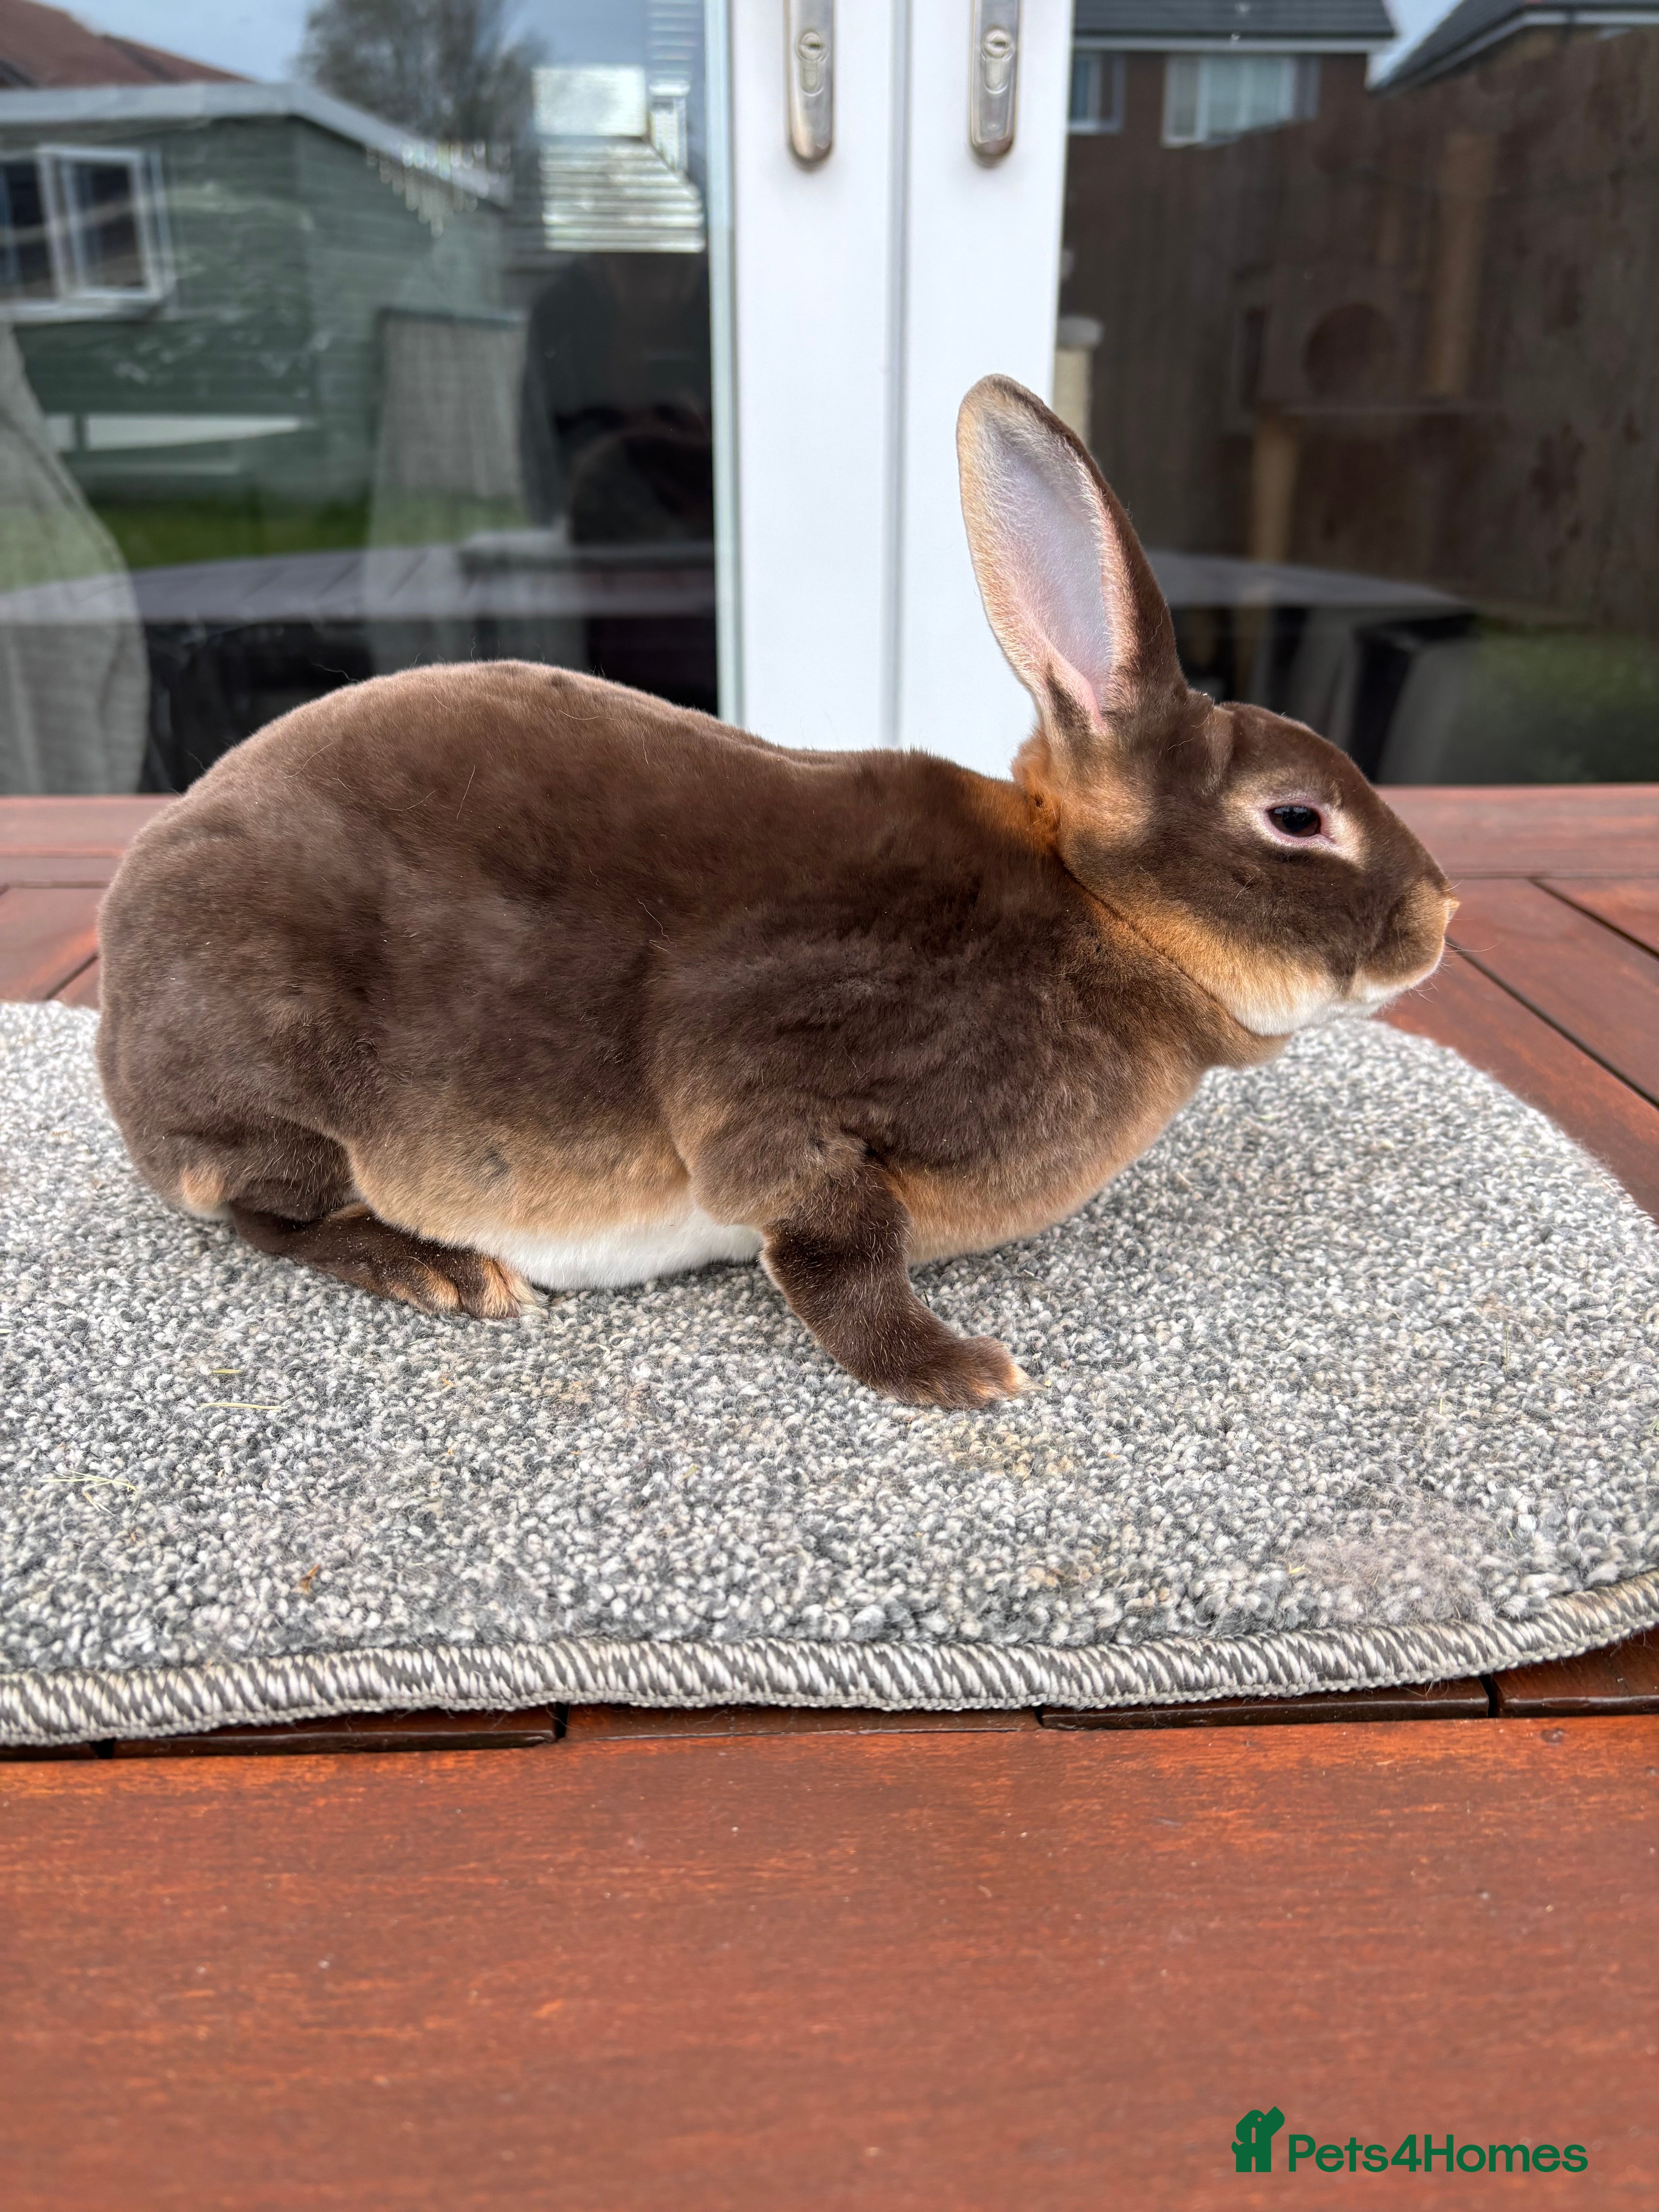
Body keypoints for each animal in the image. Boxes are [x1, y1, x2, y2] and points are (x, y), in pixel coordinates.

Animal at [96, 375, 1455, 1409]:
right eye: (1296, 816)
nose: (1439, 921)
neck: (1099, 915)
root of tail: (116, 1014)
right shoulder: (782, 1077)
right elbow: (835, 1249)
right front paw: (952, 1371)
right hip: (280, 1089)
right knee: (266, 1213)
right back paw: (443, 1271)